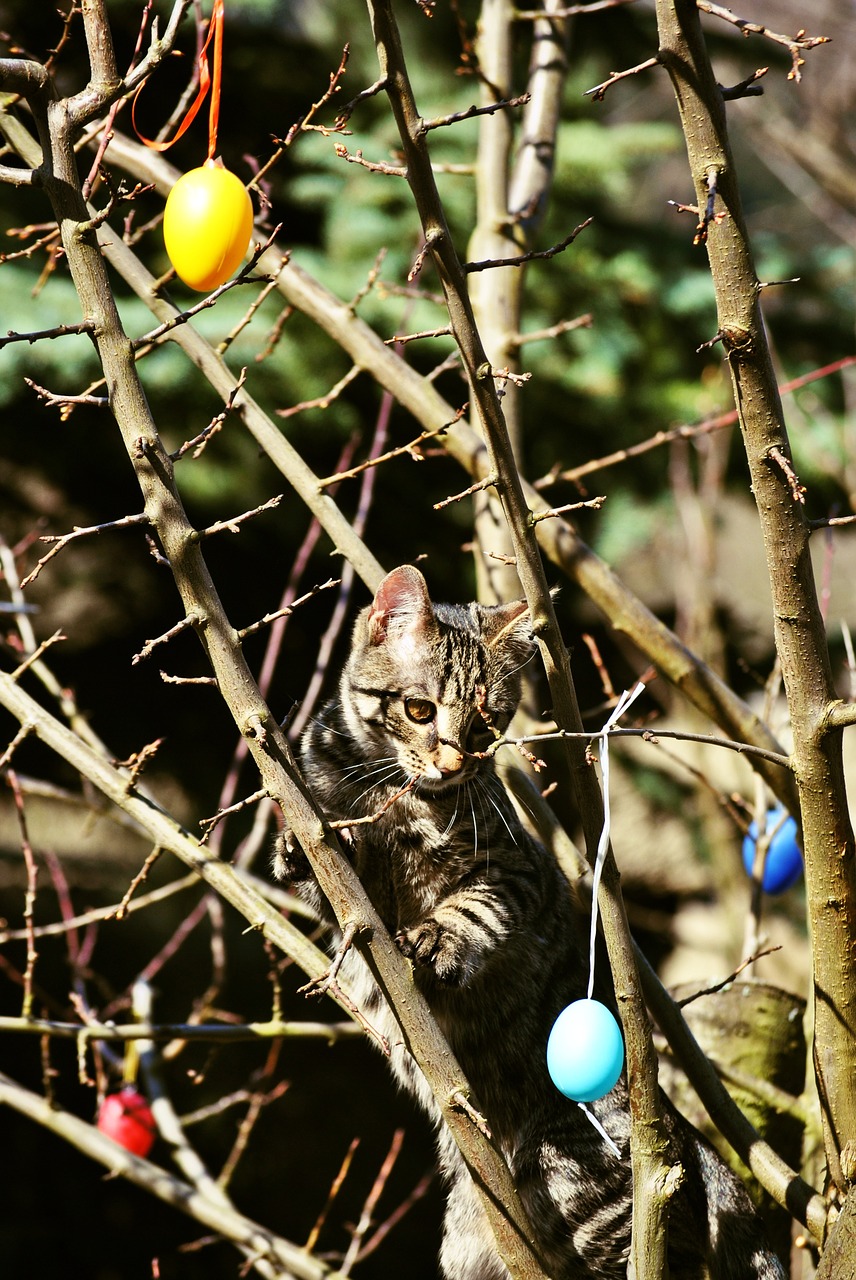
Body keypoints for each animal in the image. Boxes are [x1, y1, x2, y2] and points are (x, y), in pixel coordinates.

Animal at [277, 565, 783, 1280]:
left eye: (487, 725)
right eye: (419, 711)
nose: (455, 763)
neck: (400, 804)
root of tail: (681, 1129)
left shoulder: (519, 871)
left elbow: (474, 907)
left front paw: (439, 935)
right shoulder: (349, 881)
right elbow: (333, 865)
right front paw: (302, 849)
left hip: (578, 1193)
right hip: (471, 1242)